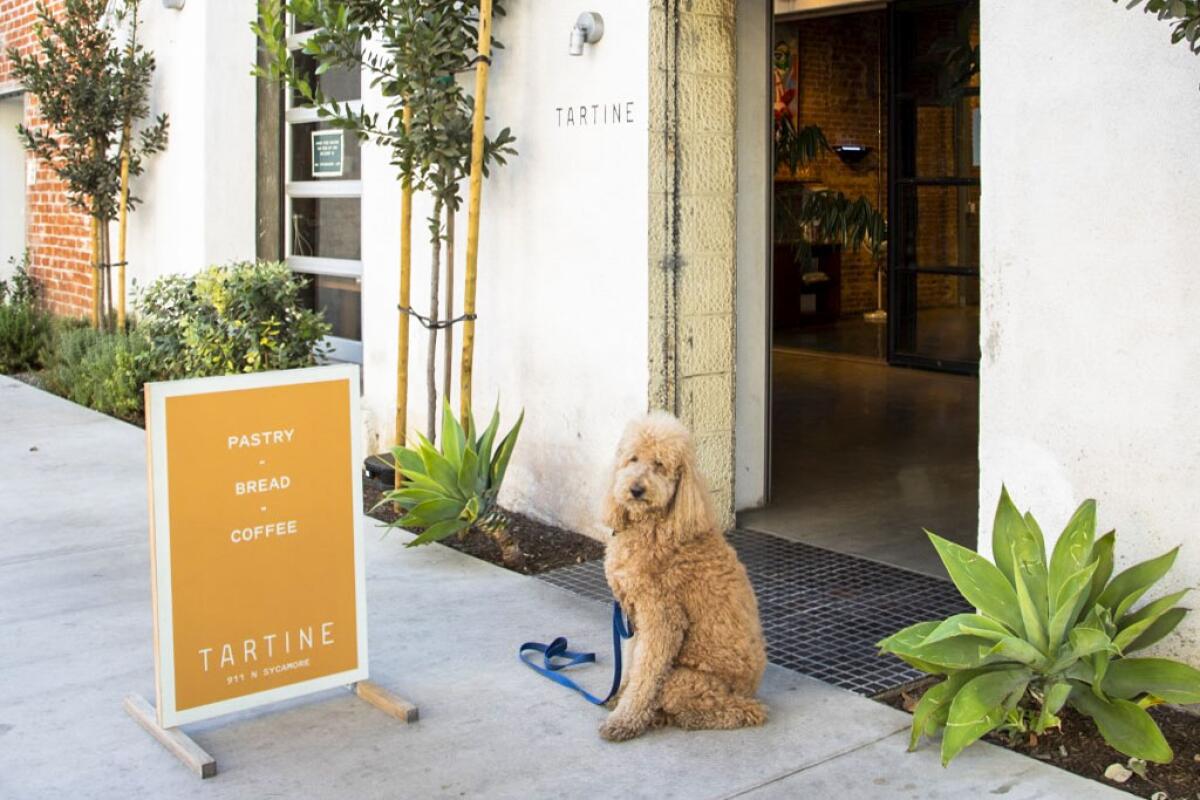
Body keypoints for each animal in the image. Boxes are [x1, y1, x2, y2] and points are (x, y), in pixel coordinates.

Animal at [600, 412, 768, 743]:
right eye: (632, 459)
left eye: (659, 464)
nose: (636, 489)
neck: (653, 525)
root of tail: (750, 688)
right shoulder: (634, 614)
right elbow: (632, 660)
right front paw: (620, 694)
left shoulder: (662, 618)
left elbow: (645, 675)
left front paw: (625, 719)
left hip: (684, 680)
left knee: (746, 711)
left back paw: (678, 717)